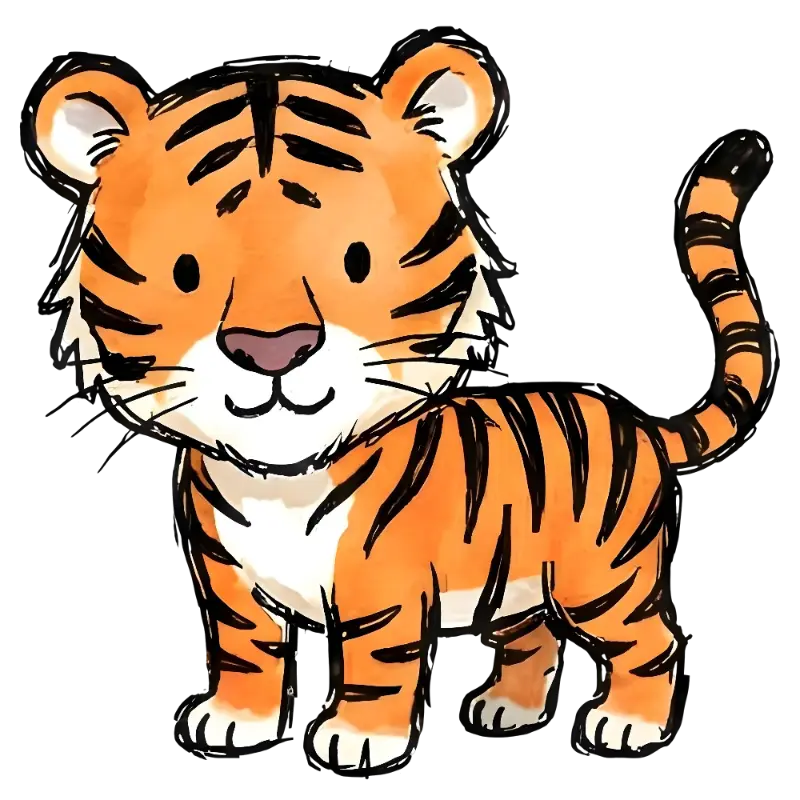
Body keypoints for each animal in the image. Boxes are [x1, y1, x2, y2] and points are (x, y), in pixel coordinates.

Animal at [33, 40, 770, 769]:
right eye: (186, 270)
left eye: (356, 260)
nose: (273, 348)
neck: (278, 482)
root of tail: (635, 421)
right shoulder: (229, 581)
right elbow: (246, 652)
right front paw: (234, 720)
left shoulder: (382, 584)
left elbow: (378, 663)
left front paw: (360, 738)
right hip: (518, 588)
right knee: (534, 640)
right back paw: (508, 710)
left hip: (601, 578)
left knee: (651, 641)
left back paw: (627, 724)